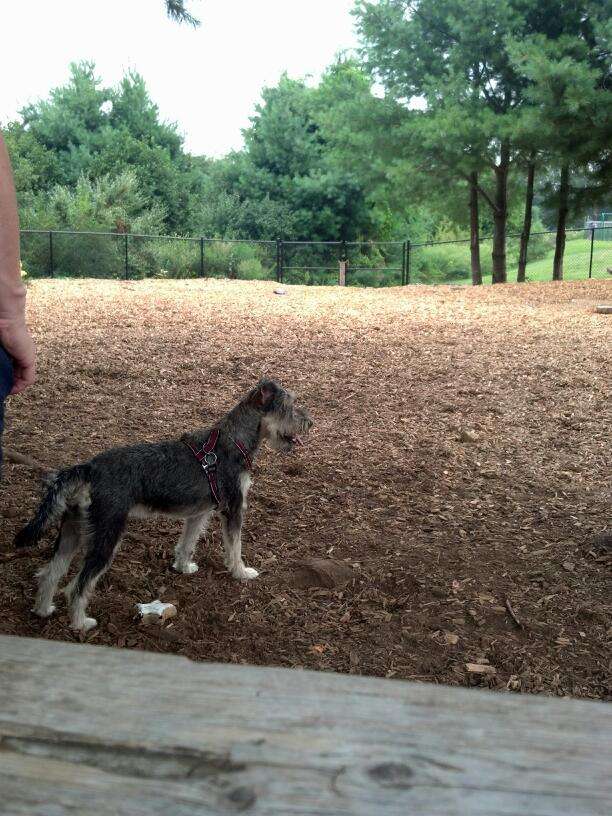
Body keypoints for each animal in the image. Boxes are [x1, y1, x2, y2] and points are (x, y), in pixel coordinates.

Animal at [14, 380, 310, 636]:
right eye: (288, 406)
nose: (310, 422)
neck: (234, 439)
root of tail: (89, 468)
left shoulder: (199, 513)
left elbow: (188, 542)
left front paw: (182, 566)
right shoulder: (234, 508)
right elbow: (235, 545)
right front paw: (240, 572)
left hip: (72, 532)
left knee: (49, 573)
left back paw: (43, 610)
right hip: (105, 538)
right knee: (77, 586)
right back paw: (80, 623)